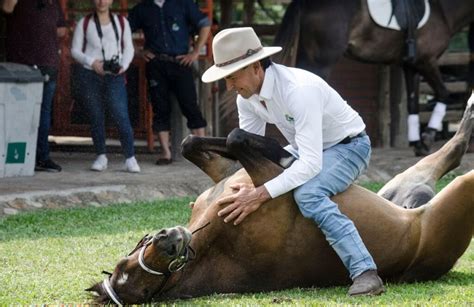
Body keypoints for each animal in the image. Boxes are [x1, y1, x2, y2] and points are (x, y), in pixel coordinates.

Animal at [87, 94, 472, 306]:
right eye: (133, 280)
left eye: (127, 259)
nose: (170, 239)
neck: (215, 237)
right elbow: (239, 138)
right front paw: (289, 156)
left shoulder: (226, 172)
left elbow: (200, 141)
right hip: (454, 194)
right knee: (456, 157)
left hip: (400, 190)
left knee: (447, 155)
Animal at [272, 0, 474, 156]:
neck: (442, 9)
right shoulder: (427, 61)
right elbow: (444, 93)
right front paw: (428, 137)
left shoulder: (411, 66)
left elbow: (413, 104)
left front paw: (418, 143)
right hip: (320, 61)